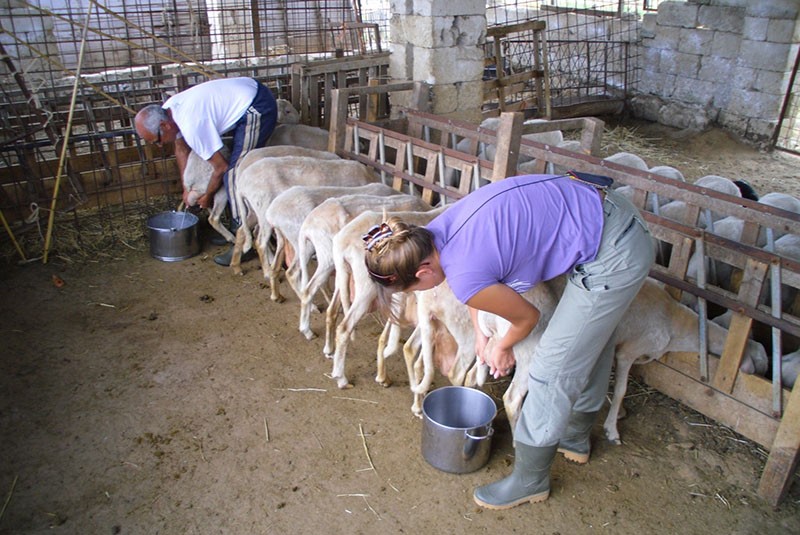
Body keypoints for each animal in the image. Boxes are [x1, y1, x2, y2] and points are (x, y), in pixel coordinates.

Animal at [230, 156, 376, 276]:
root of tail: (242, 183)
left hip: (253, 210)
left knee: (242, 230)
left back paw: (237, 267)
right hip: (263, 207)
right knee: (260, 242)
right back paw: (267, 271)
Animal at [266, 182, 406, 304]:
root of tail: (271, 214)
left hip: (285, 239)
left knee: (276, 266)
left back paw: (276, 295)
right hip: (306, 245)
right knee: (294, 273)